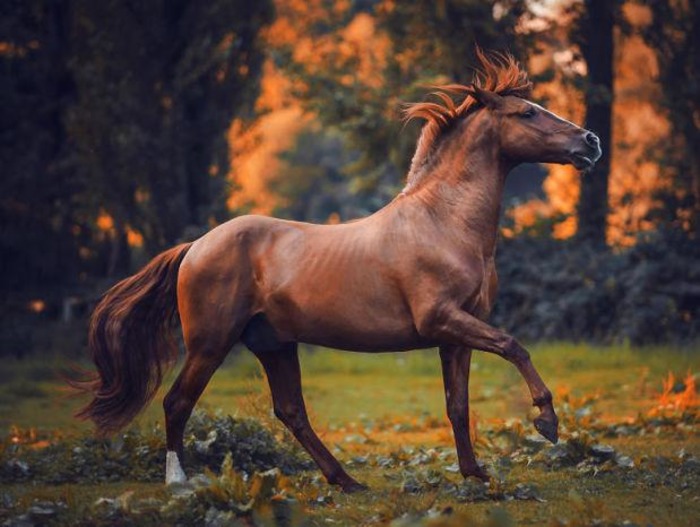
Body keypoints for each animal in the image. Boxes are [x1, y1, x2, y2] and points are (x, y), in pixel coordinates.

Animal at [75, 49, 600, 490]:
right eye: (527, 113)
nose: (590, 141)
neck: (443, 223)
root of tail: (195, 247)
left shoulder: (456, 335)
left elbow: (458, 405)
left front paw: (475, 473)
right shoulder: (443, 320)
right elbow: (514, 346)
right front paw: (547, 423)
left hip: (274, 343)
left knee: (290, 411)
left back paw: (346, 480)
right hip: (211, 342)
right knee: (178, 402)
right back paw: (179, 481)